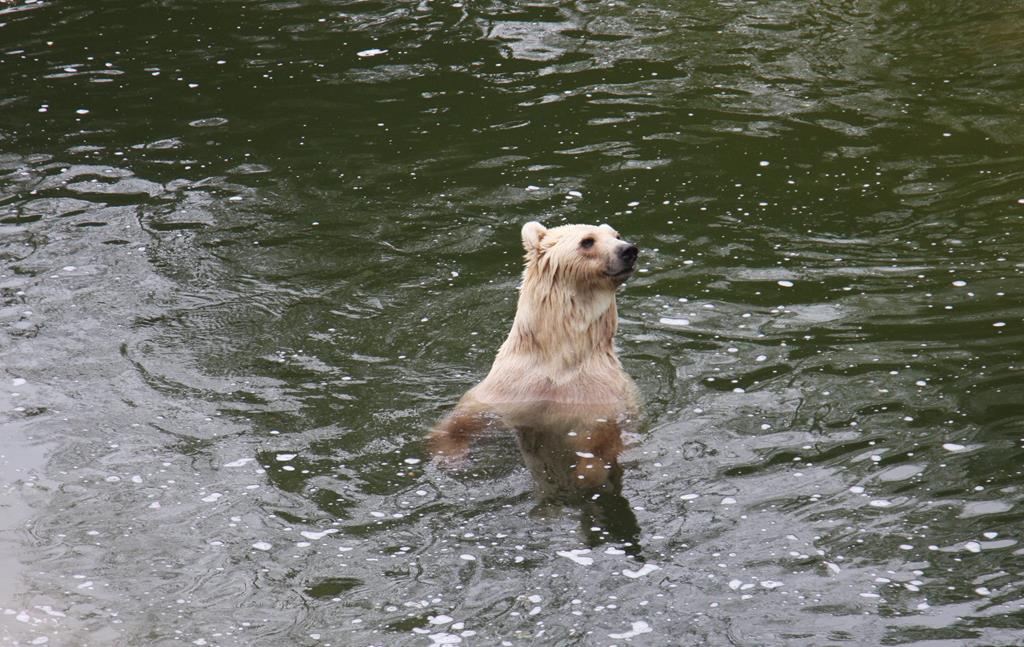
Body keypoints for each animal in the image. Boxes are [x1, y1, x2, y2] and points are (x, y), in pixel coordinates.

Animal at [430, 220, 638, 497]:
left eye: (616, 234)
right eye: (587, 241)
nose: (628, 250)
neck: (561, 357)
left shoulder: (600, 397)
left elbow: (600, 441)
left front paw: (587, 473)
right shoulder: (512, 389)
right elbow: (464, 418)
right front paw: (452, 457)